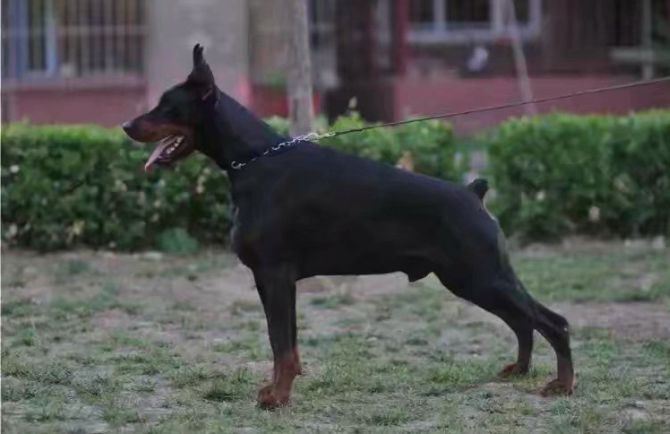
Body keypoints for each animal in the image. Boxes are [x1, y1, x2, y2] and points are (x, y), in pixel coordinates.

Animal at [122, 44, 575, 409]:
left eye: (167, 105)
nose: (127, 126)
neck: (253, 160)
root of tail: (473, 192)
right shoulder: (275, 280)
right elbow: (285, 343)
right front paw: (278, 389)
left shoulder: (274, 274)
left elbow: (280, 344)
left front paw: (278, 399)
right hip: (473, 278)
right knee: (522, 320)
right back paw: (520, 370)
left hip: (479, 273)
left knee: (552, 321)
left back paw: (562, 385)